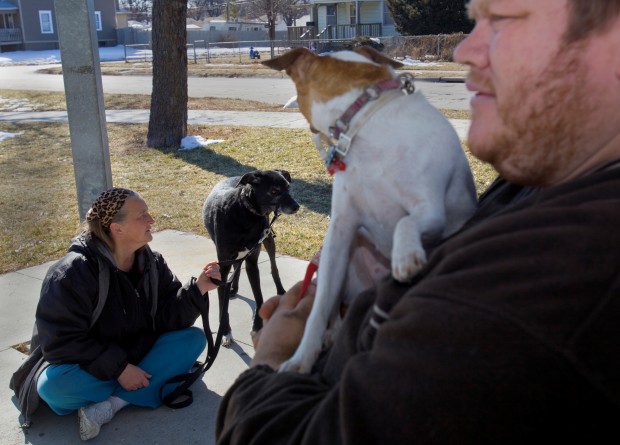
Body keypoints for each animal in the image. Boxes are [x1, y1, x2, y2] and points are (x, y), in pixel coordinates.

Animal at [203, 168, 300, 346]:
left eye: (288, 187)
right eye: (274, 191)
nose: (296, 207)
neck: (246, 212)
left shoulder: (252, 262)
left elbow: (259, 297)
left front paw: (257, 326)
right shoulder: (223, 267)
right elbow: (222, 306)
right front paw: (225, 331)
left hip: (268, 238)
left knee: (274, 267)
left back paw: (281, 290)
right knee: (237, 266)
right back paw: (233, 288)